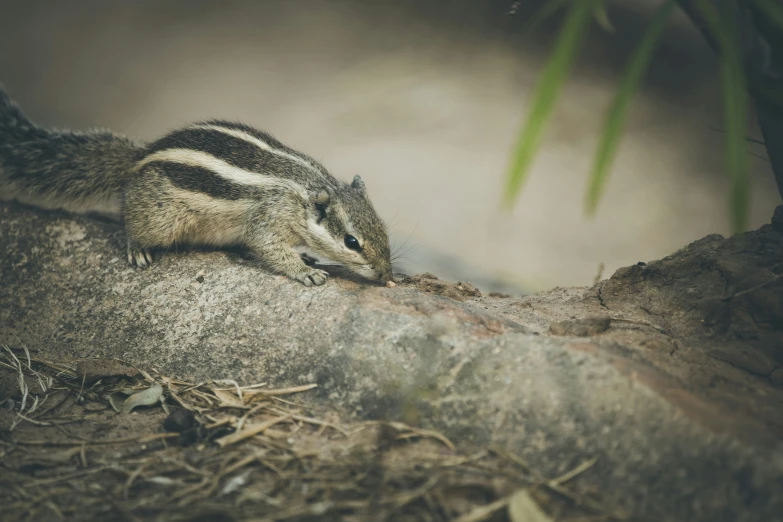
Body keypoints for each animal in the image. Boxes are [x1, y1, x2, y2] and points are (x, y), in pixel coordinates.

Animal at [0, 89, 392, 284]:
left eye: (384, 230)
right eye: (352, 242)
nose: (386, 275)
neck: (306, 189)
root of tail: (140, 157)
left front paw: (307, 256)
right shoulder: (270, 215)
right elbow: (267, 246)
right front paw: (305, 271)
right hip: (159, 217)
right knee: (130, 222)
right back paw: (137, 248)